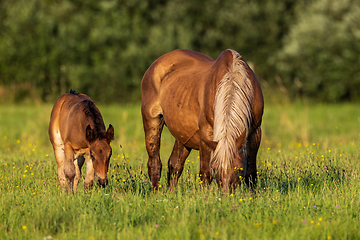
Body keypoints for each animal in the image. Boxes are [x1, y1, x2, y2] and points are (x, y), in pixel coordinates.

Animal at [142, 48, 262, 191]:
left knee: (175, 164)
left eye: (238, 169)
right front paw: (205, 195)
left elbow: (251, 173)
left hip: (183, 134)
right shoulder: (206, 134)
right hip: (151, 121)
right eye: (216, 168)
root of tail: (156, 63)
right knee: (154, 163)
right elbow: (205, 173)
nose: (226, 193)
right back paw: (157, 194)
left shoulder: (255, 132)